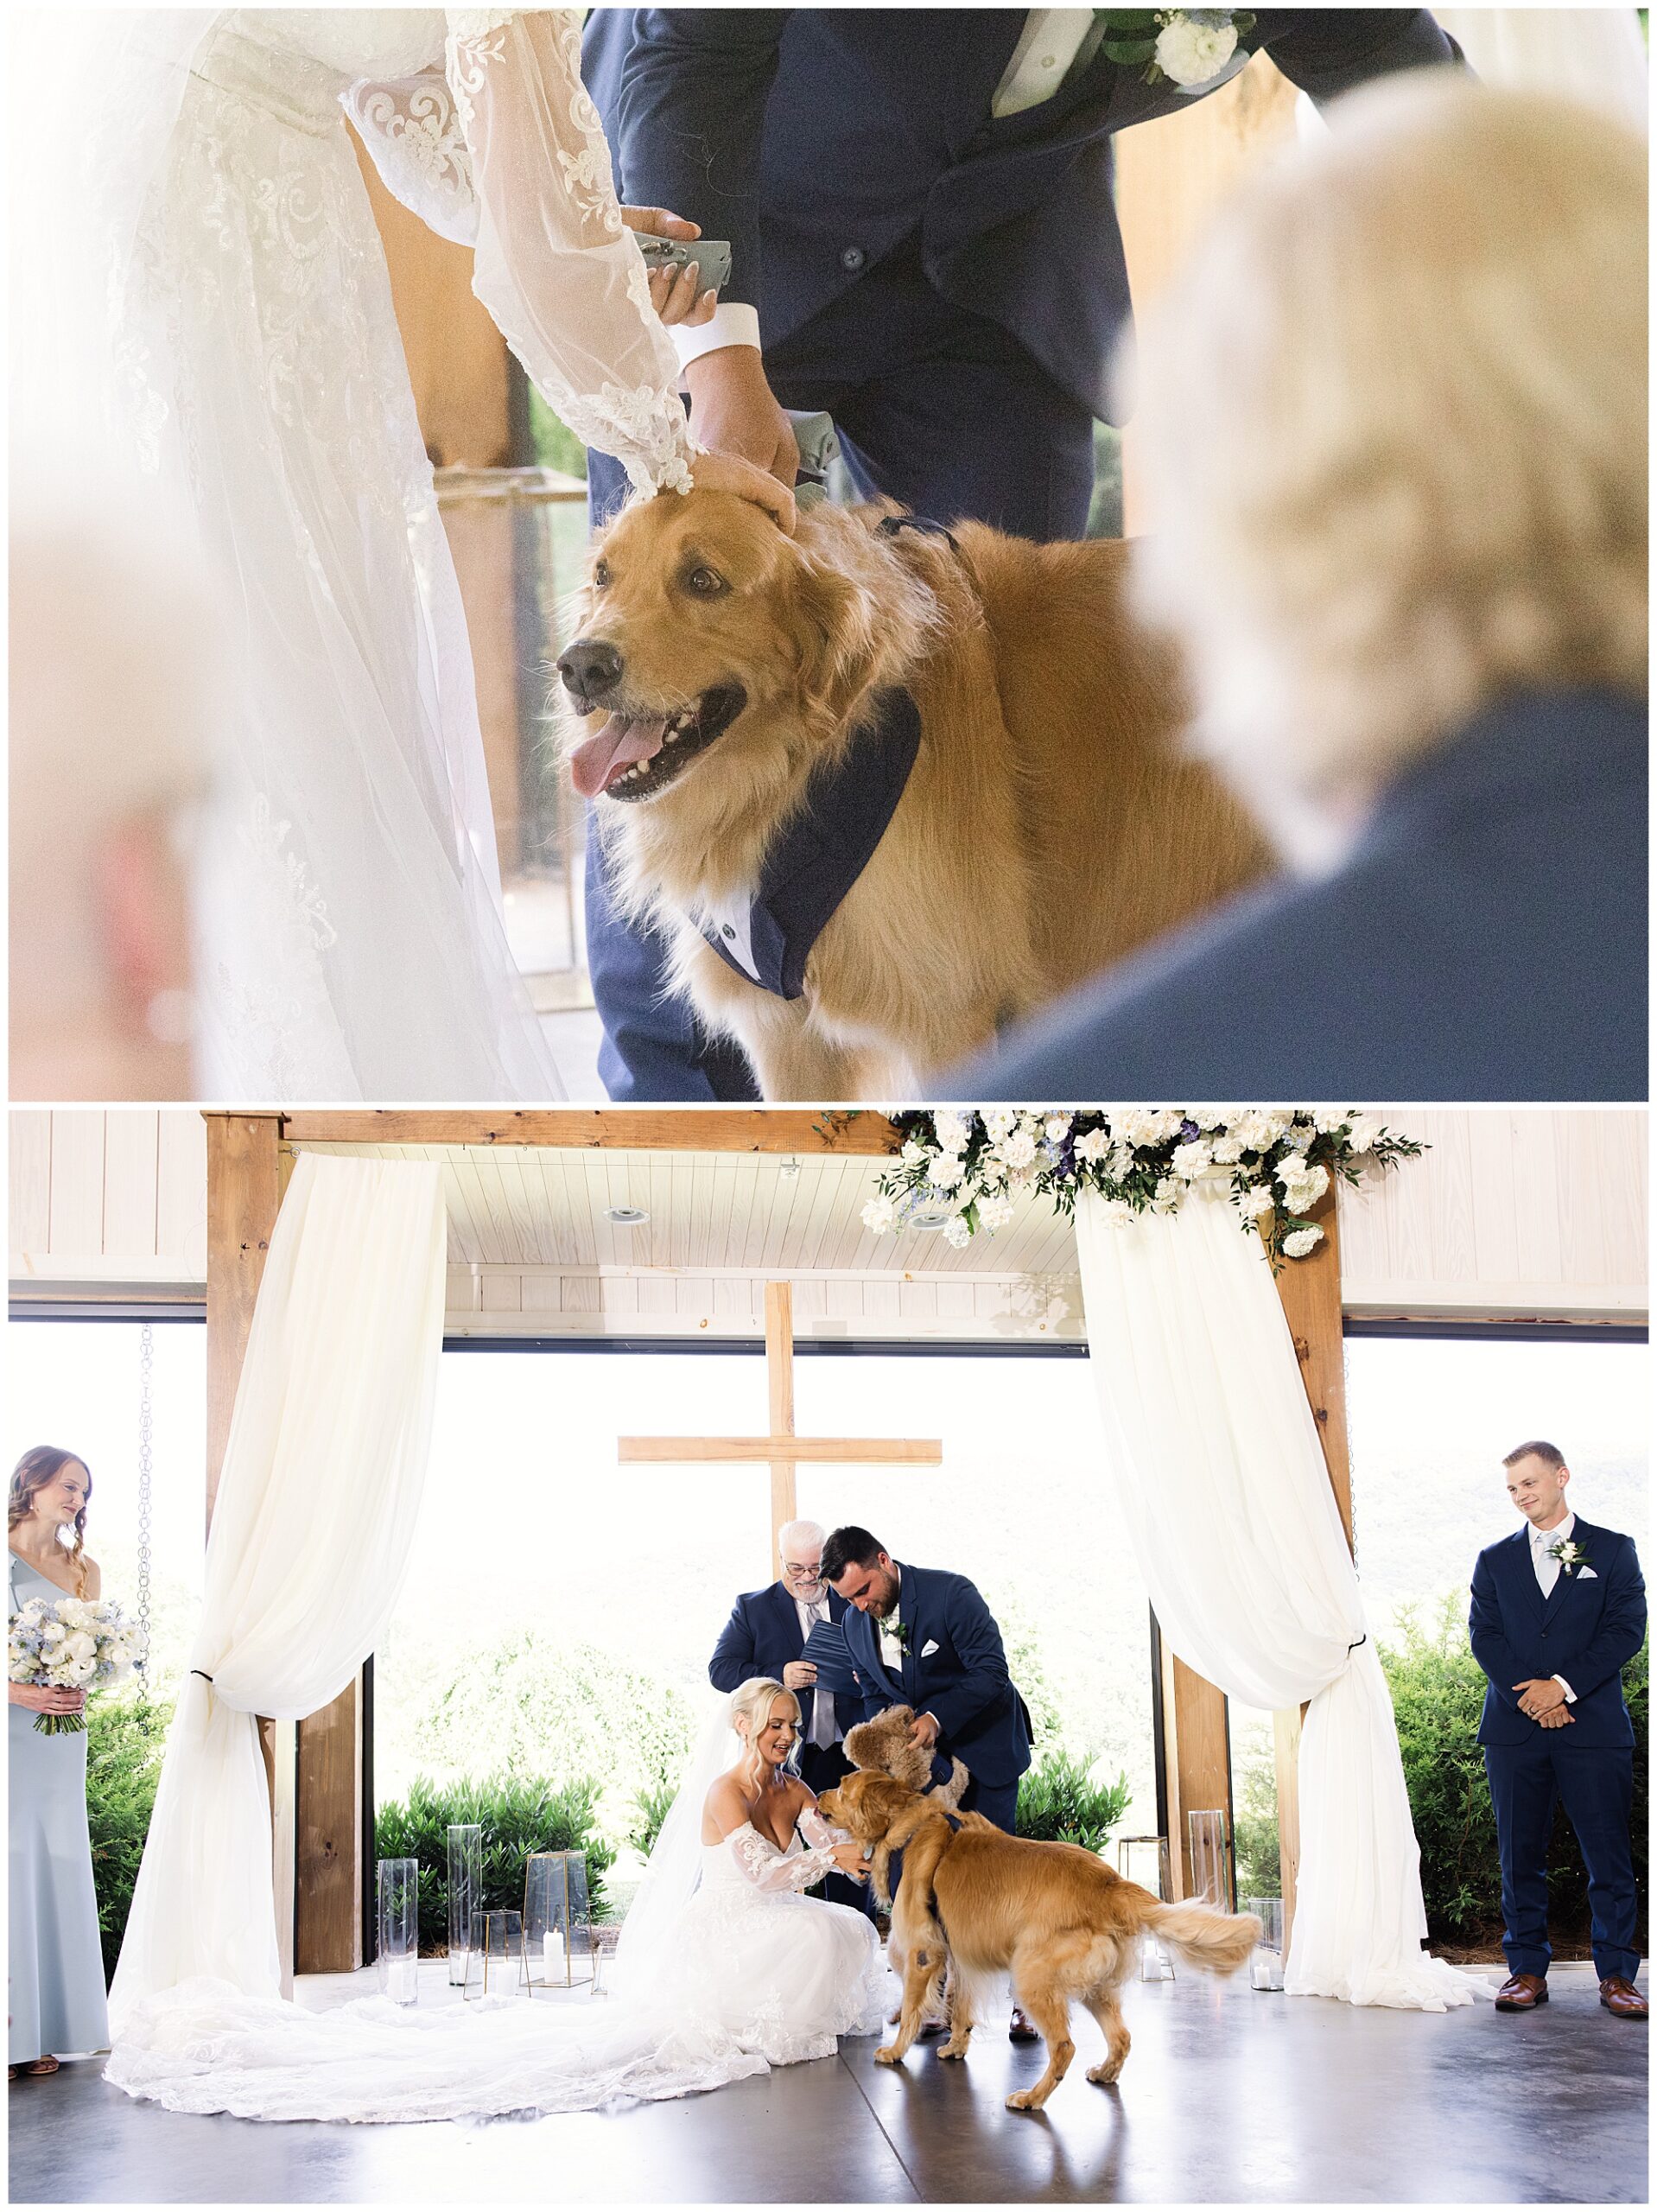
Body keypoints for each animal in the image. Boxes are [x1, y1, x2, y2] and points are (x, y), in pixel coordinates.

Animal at [559, 493, 1265, 1096]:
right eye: (604, 576)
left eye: (704, 580)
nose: (580, 666)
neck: (804, 772)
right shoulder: (784, 1038)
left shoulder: (947, 1018)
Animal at [822, 1770, 1256, 2114]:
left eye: (842, 1786)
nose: (819, 1797)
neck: (909, 1825)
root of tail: (1110, 1884)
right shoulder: (960, 1954)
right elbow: (960, 2007)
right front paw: (956, 2047)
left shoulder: (923, 1952)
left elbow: (913, 2008)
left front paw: (896, 2050)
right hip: (1095, 1985)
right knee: (1122, 2037)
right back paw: (1104, 2073)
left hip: (1032, 1973)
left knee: (1064, 2046)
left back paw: (1031, 2097)